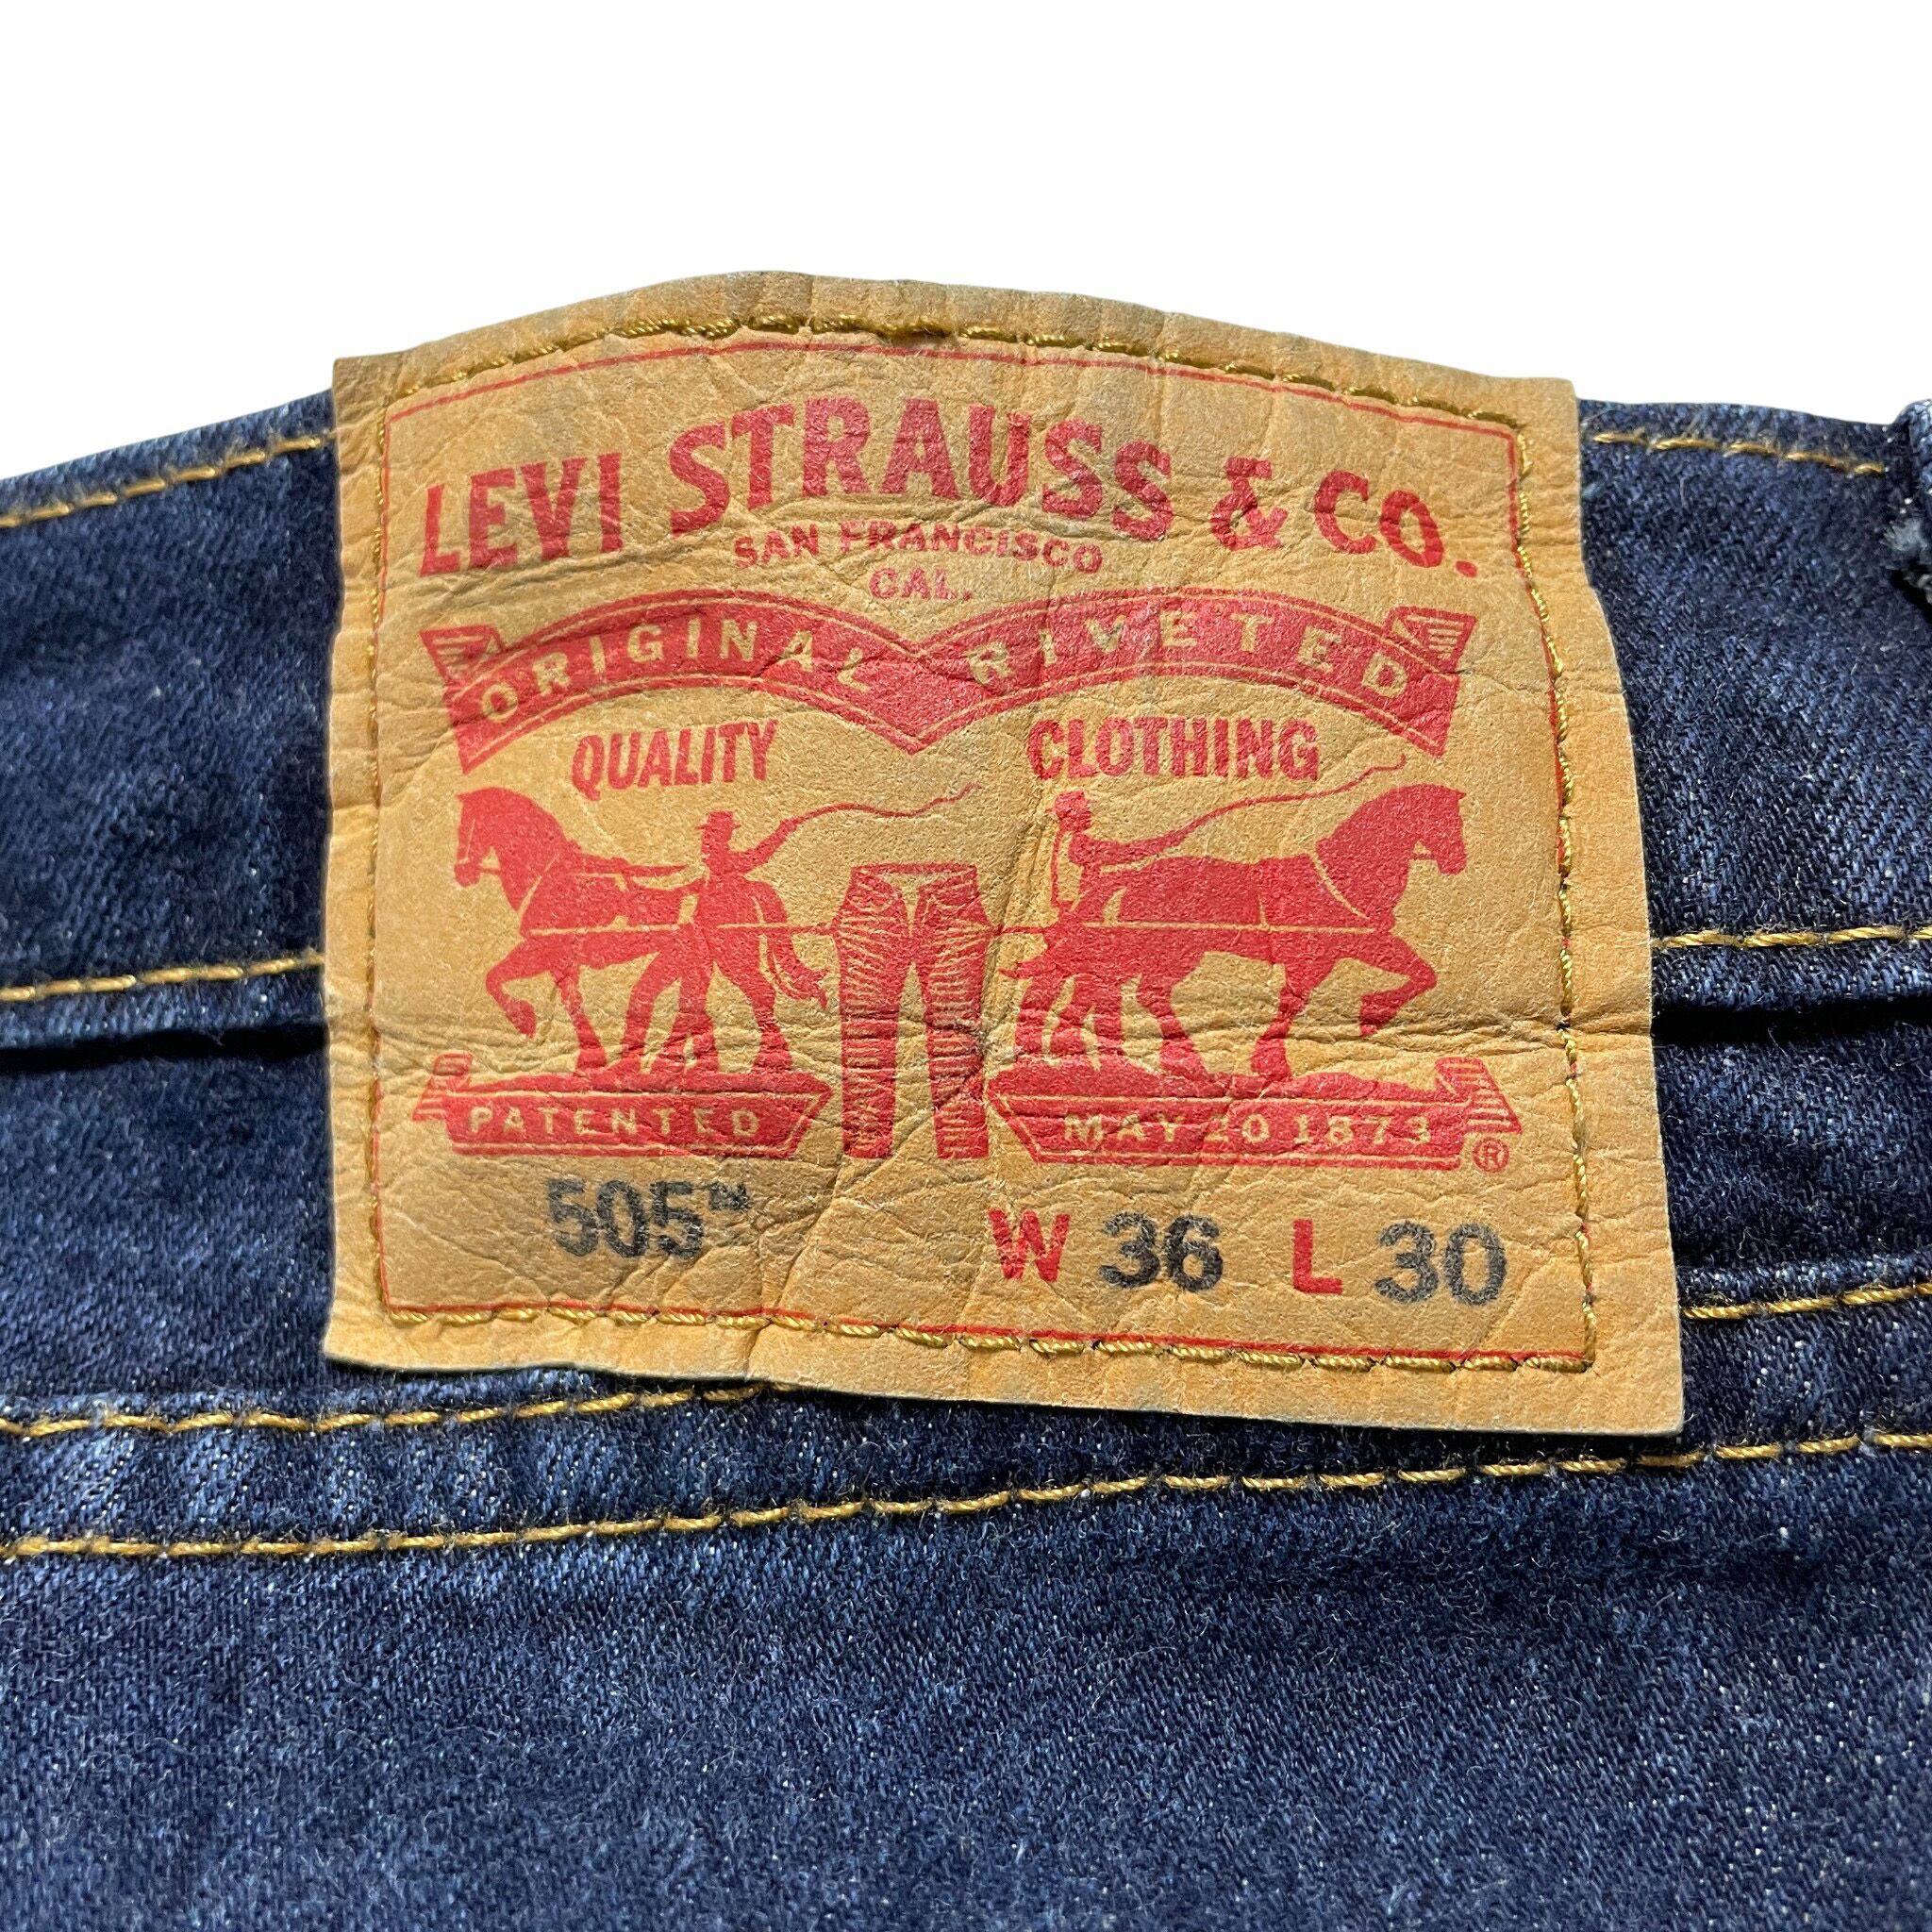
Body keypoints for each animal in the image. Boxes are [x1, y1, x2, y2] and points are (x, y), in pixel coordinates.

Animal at [1011, 783, 1466, 1081]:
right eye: (1450, 821)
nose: (1457, 863)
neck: (1341, 879)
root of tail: (1138, 876)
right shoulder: (1312, 958)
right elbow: (1293, 1002)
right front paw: (1274, 1063)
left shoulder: (1365, 944)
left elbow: (1423, 972)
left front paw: (1372, 1013)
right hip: (1170, 949)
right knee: (1135, 990)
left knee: (1114, 987)